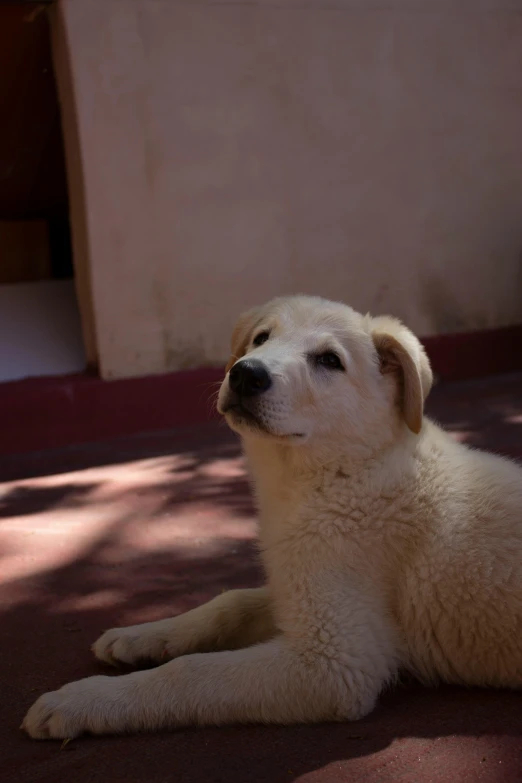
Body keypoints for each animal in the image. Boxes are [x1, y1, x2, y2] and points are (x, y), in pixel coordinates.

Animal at [22, 296, 520, 740]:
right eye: (262, 337)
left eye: (329, 360)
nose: (244, 373)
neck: (347, 469)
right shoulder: (293, 585)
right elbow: (229, 602)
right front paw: (142, 635)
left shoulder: (332, 662)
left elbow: (189, 673)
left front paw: (83, 701)